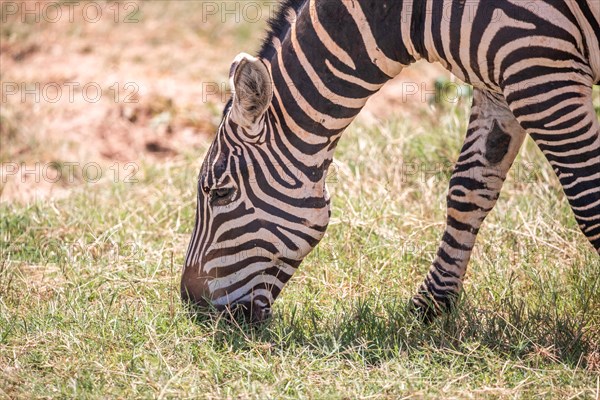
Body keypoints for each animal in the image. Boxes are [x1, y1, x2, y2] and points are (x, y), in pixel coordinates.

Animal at [182, 0, 600, 320]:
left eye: (220, 193)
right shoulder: (499, 82)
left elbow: (588, 202)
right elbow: (468, 189)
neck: (412, 14)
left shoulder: (540, 69)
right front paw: (431, 305)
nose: (190, 304)